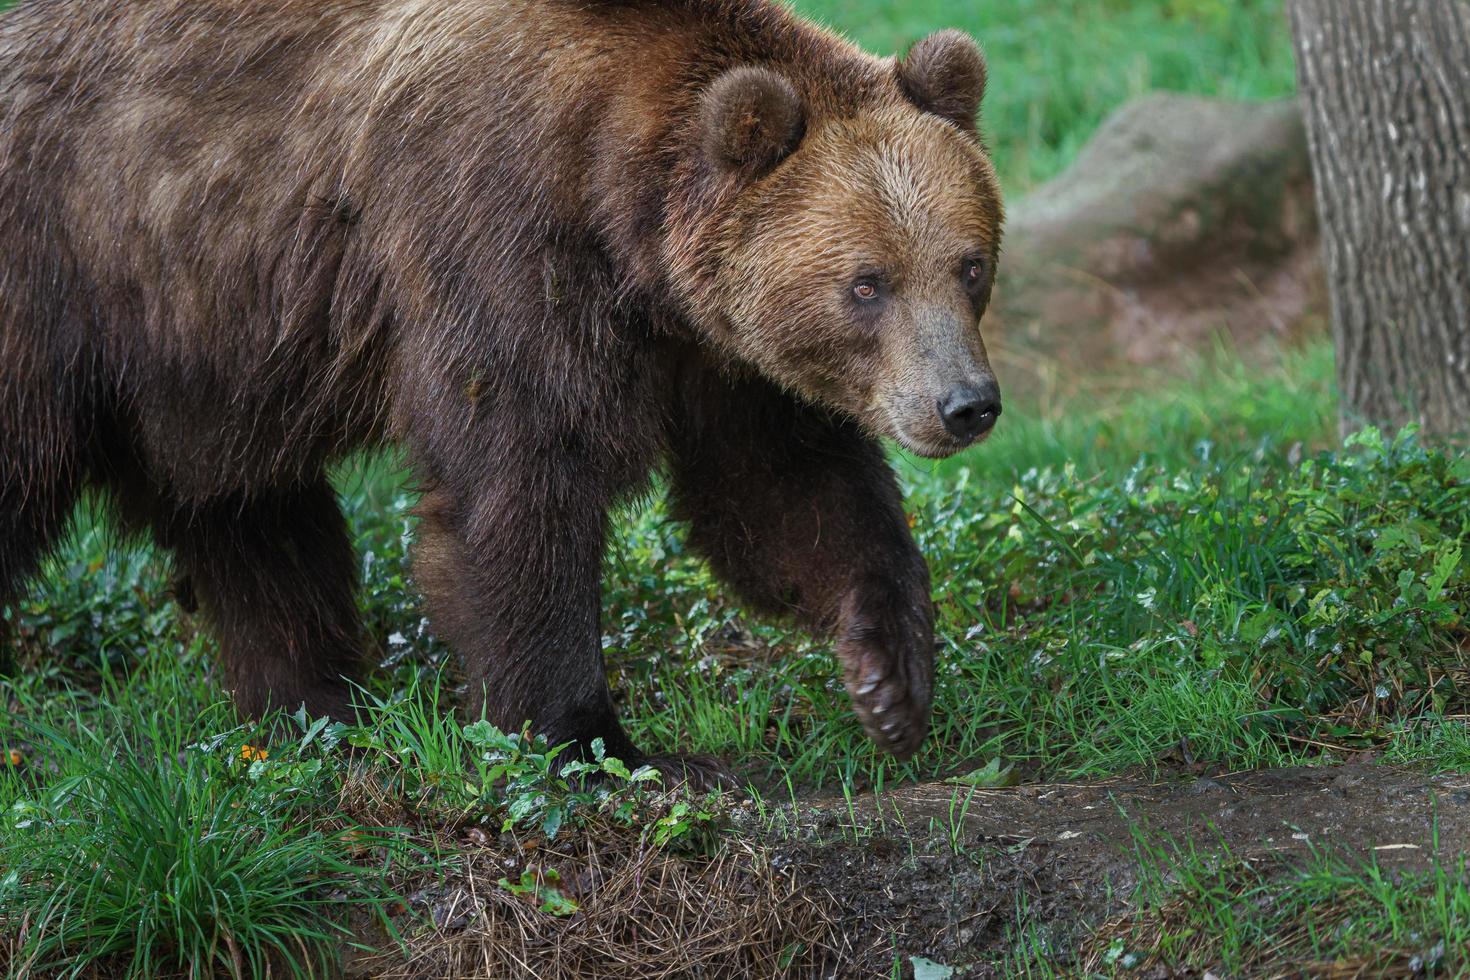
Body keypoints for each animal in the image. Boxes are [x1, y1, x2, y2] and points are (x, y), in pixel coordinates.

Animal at [0, 0, 999, 781]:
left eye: (969, 264)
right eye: (866, 283)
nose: (966, 404)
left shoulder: (714, 350)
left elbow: (782, 491)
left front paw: (891, 674)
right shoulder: (494, 235)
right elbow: (520, 484)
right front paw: (595, 741)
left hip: (204, 357)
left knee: (256, 523)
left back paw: (319, 710)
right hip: (68, 278)